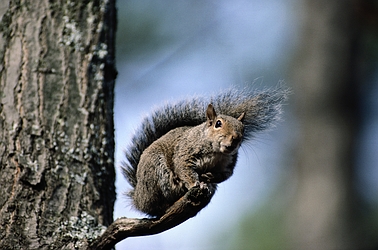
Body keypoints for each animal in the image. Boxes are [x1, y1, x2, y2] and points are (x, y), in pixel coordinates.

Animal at [122, 86, 288, 217]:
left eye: (243, 128)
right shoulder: (185, 152)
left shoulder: (228, 164)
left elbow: (226, 176)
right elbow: (184, 168)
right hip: (155, 168)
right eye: (218, 124)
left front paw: (210, 177)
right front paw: (196, 183)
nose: (236, 138)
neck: (217, 153)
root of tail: (138, 197)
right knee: (155, 207)